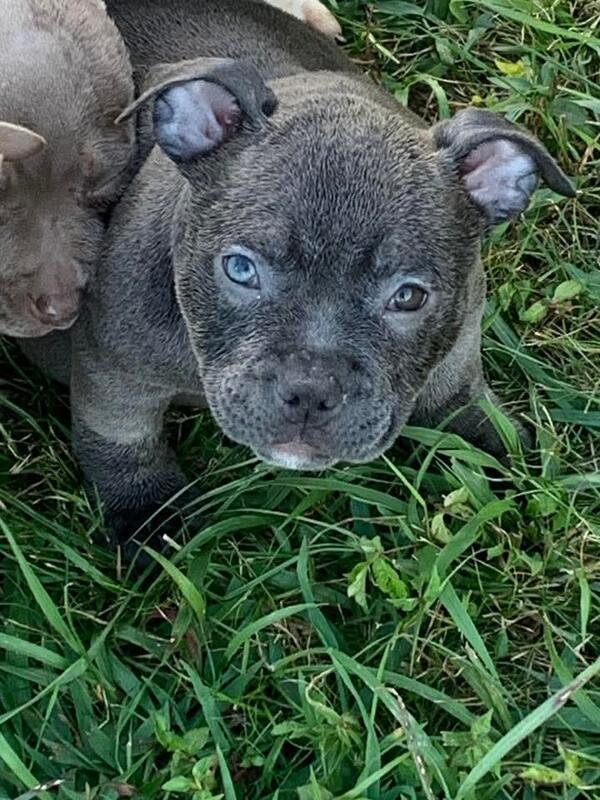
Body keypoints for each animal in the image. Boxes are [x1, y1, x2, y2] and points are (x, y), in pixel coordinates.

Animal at [24, 0, 575, 552]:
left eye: (408, 297)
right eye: (240, 269)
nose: (310, 392)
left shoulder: (459, 343)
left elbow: (474, 411)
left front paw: (516, 467)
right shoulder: (114, 371)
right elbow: (121, 445)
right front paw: (152, 523)